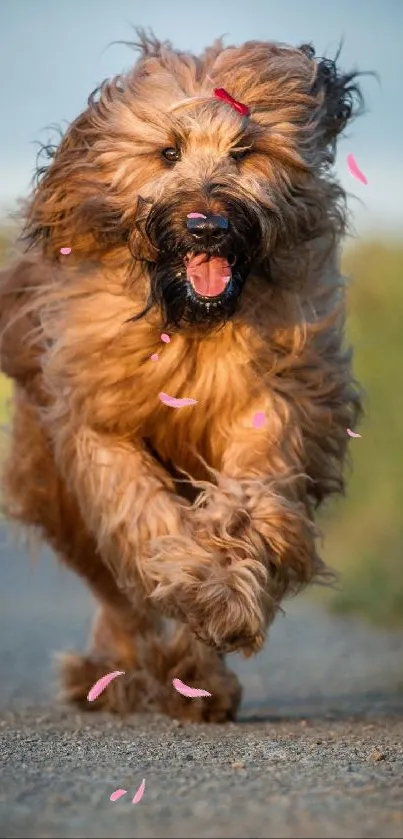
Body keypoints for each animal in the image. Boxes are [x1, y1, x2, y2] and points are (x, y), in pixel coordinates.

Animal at [0, 34, 362, 720]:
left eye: (245, 151)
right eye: (167, 152)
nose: (208, 225)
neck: (190, 323)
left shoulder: (271, 401)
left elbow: (247, 504)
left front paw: (221, 598)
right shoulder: (98, 419)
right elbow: (139, 513)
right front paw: (195, 585)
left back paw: (196, 678)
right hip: (54, 488)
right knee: (114, 588)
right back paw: (119, 674)